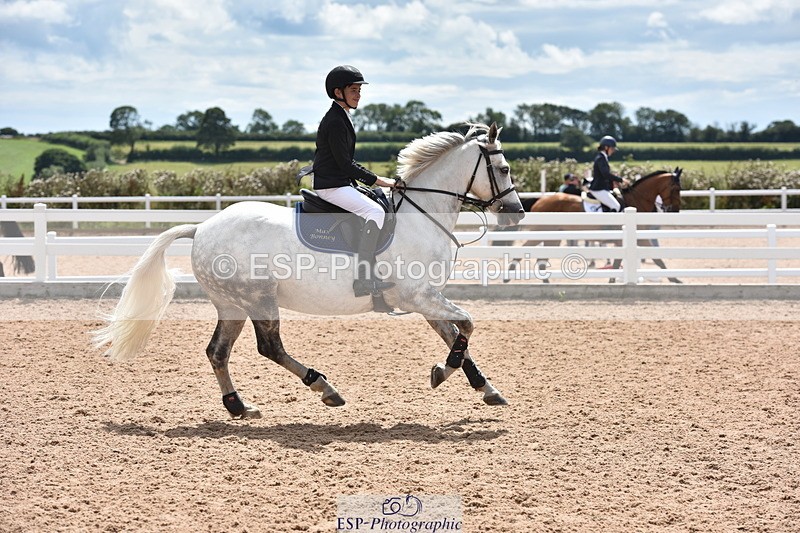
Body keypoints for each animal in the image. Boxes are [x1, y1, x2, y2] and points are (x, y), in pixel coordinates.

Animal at [93, 123, 525, 418]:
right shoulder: (416, 296)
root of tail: (202, 227)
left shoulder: (425, 299)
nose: (516, 213)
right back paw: (324, 388)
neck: (421, 215)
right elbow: (466, 326)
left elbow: (456, 336)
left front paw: (486, 389)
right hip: (258, 298)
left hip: (232, 304)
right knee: (269, 347)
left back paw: (239, 407)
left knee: (218, 351)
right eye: (503, 168)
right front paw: (442, 372)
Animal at [505, 168, 683, 283]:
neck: (635, 201)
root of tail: (540, 199)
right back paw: (508, 276)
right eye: (676, 188)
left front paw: (612, 281)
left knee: (542, 259)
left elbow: (617, 263)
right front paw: (675, 279)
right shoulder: (638, 239)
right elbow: (657, 258)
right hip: (542, 232)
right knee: (526, 250)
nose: (675, 211)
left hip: (553, 236)